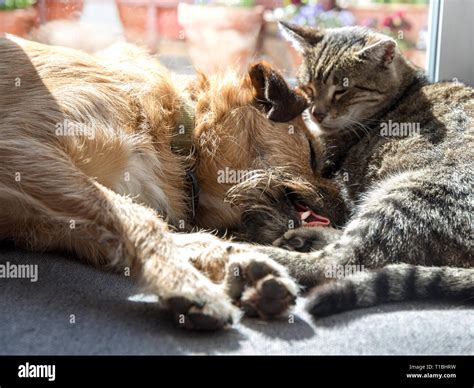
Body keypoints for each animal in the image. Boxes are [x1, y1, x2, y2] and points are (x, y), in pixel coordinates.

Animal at [0, 36, 344, 328]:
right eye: (312, 153)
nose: (346, 208)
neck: (177, 137)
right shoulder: (20, 147)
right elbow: (141, 218)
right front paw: (183, 279)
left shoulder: (53, 221)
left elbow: (168, 232)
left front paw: (238, 263)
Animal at [268, 23, 472, 316]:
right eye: (308, 87)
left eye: (342, 90)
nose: (316, 113)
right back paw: (304, 238)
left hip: (407, 197)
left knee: (336, 262)